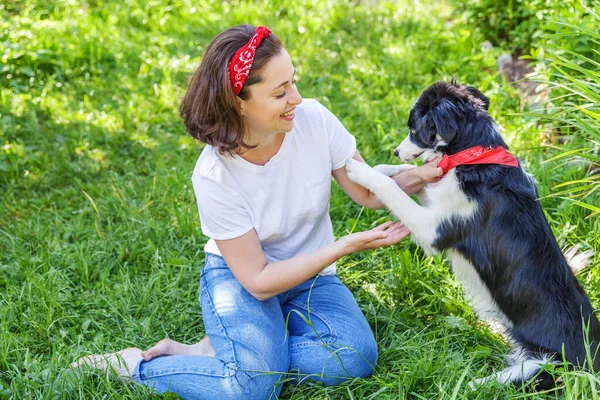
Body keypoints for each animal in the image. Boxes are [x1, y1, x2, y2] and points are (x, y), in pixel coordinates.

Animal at [346, 79, 600, 390]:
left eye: (413, 130)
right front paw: (382, 167)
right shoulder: (437, 200)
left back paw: (463, 383)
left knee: (496, 382)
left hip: (548, 367)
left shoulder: (434, 228)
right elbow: (413, 175)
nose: (394, 151)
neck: (477, 156)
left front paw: (361, 170)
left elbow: (393, 190)